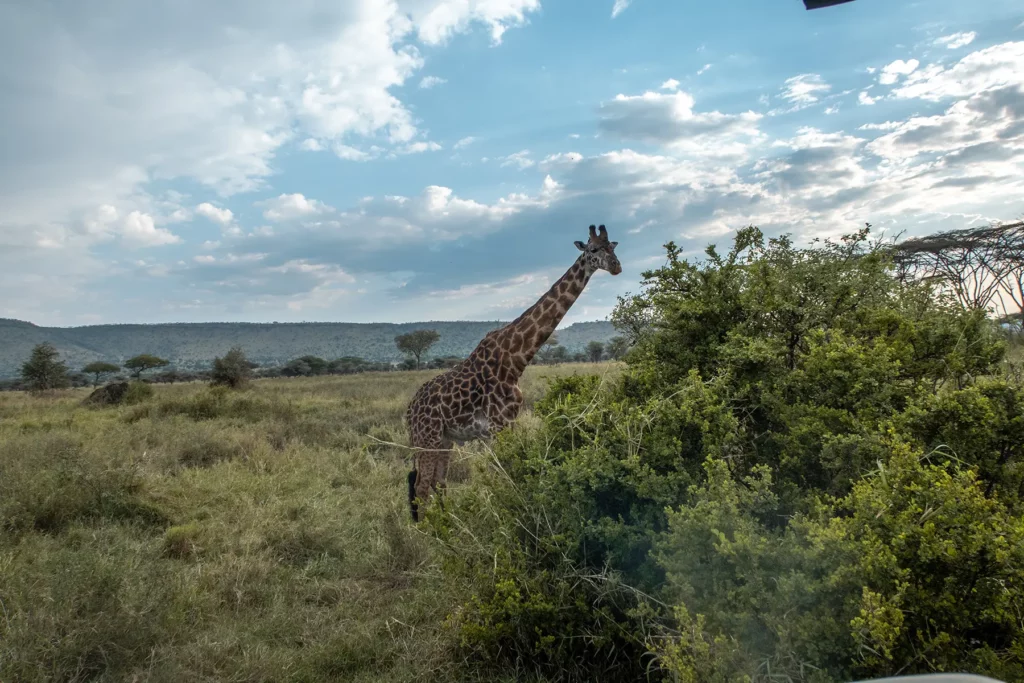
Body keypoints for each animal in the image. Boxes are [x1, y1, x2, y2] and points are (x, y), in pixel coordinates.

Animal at [404, 224, 622, 521]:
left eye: (613, 246)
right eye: (593, 249)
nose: (616, 266)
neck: (515, 358)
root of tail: (410, 411)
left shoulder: (509, 423)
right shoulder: (497, 426)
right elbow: (503, 476)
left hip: (444, 440)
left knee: (438, 483)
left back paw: (448, 525)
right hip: (426, 438)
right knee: (422, 487)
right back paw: (428, 532)